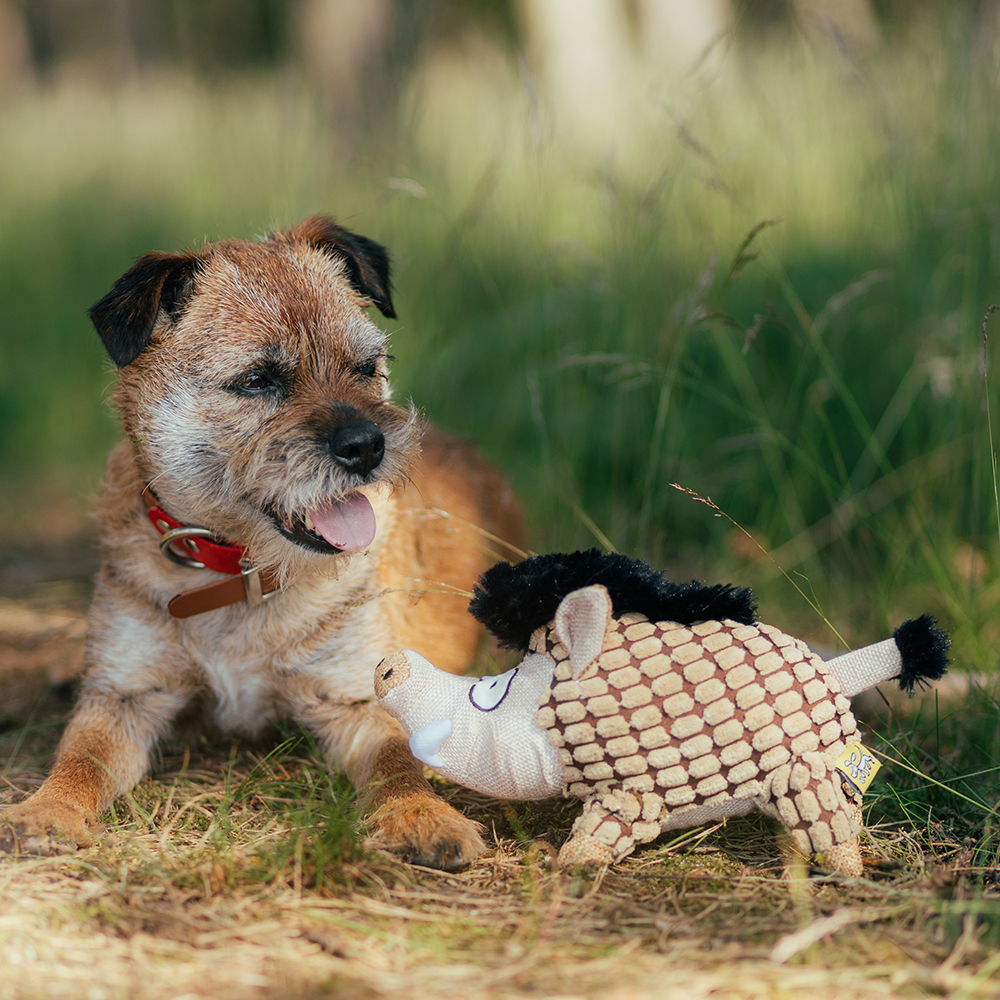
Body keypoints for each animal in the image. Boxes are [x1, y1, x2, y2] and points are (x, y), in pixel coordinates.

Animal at [0, 217, 528, 868]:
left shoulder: (356, 697)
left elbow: (396, 761)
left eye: (366, 366)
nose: (368, 444)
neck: (238, 573)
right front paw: (46, 809)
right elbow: (79, 761)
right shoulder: (124, 696)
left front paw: (422, 815)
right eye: (257, 380)